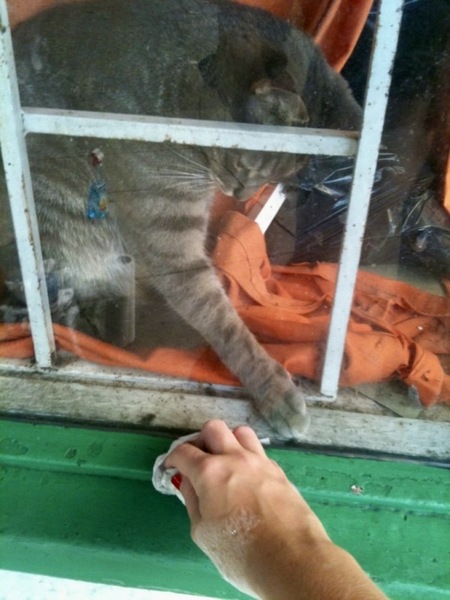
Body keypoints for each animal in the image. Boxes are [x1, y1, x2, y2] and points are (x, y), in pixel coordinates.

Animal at [0, 0, 362, 438]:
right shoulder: (171, 240)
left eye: (269, 179)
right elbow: (221, 320)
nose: (239, 194)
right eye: (244, 165)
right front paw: (273, 388)